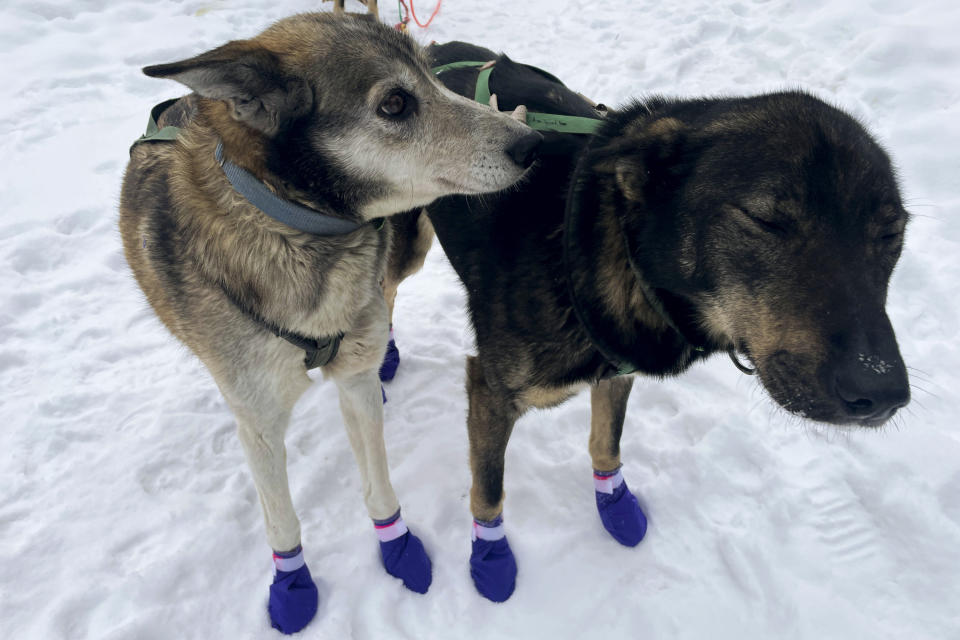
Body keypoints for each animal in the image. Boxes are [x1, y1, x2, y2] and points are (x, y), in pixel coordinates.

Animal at [118, 15, 540, 636]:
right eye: (395, 103)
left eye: (431, 77)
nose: (533, 143)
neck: (294, 229)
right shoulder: (259, 423)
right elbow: (282, 521)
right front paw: (292, 584)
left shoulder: (354, 379)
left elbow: (378, 482)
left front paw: (397, 546)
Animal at [422, 42, 916, 604]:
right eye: (765, 220)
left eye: (891, 233)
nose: (880, 390)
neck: (599, 250)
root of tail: (436, 50)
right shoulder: (490, 391)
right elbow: (488, 490)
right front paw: (490, 557)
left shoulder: (618, 372)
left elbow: (606, 443)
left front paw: (615, 504)